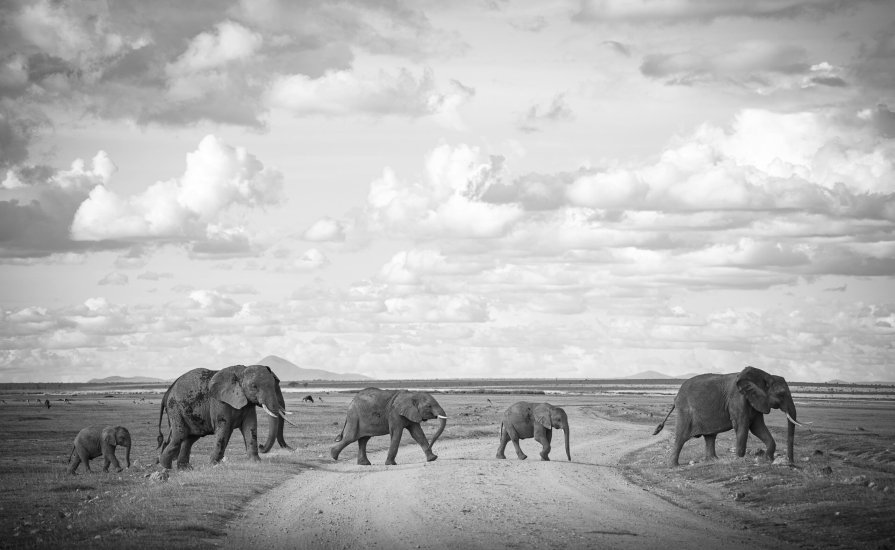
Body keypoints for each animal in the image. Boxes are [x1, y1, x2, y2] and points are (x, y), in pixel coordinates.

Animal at [156, 364, 290, 469]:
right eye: (254, 386)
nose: (261, 446)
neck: (241, 371)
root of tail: (168, 392)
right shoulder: (219, 401)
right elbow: (224, 428)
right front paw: (213, 464)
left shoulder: (247, 403)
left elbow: (250, 426)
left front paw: (256, 462)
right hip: (175, 409)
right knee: (180, 435)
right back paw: (165, 467)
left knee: (190, 438)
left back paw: (185, 469)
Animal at [654, 366, 803, 466]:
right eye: (781, 394)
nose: (791, 463)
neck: (765, 375)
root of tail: (676, 396)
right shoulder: (737, 399)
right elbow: (742, 426)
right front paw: (739, 459)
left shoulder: (755, 400)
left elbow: (757, 427)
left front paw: (767, 459)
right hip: (685, 411)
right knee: (681, 437)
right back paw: (674, 466)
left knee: (710, 436)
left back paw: (713, 460)